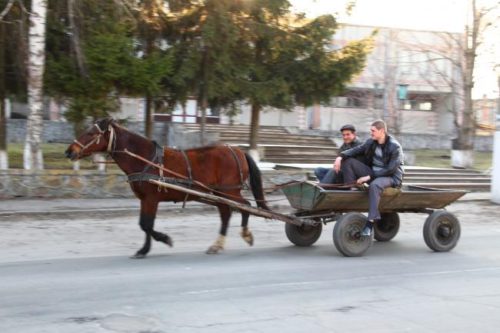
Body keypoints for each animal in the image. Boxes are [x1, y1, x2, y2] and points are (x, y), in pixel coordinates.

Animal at [65, 118, 270, 258]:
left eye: (91, 134)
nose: (69, 151)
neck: (144, 158)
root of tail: (237, 150)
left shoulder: (151, 199)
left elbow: (147, 224)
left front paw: (164, 239)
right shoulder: (145, 199)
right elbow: (145, 224)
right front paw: (144, 249)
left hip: (229, 191)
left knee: (245, 205)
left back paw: (245, 234)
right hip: (218, 193)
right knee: (226, 214)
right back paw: (217, 245)